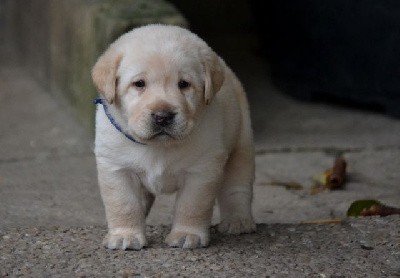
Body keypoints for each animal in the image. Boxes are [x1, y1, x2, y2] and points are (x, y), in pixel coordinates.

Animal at [92, 24, 255, 250]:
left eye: (184, 84)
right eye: (139, 84)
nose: (163, 116)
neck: (159, 146)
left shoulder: (202, 170)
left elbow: (192, 205)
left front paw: (187, 234)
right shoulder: (116, 168)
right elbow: (123, 204)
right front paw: (126, 235)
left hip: (241, 143)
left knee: (237, 187)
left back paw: (237, 220)